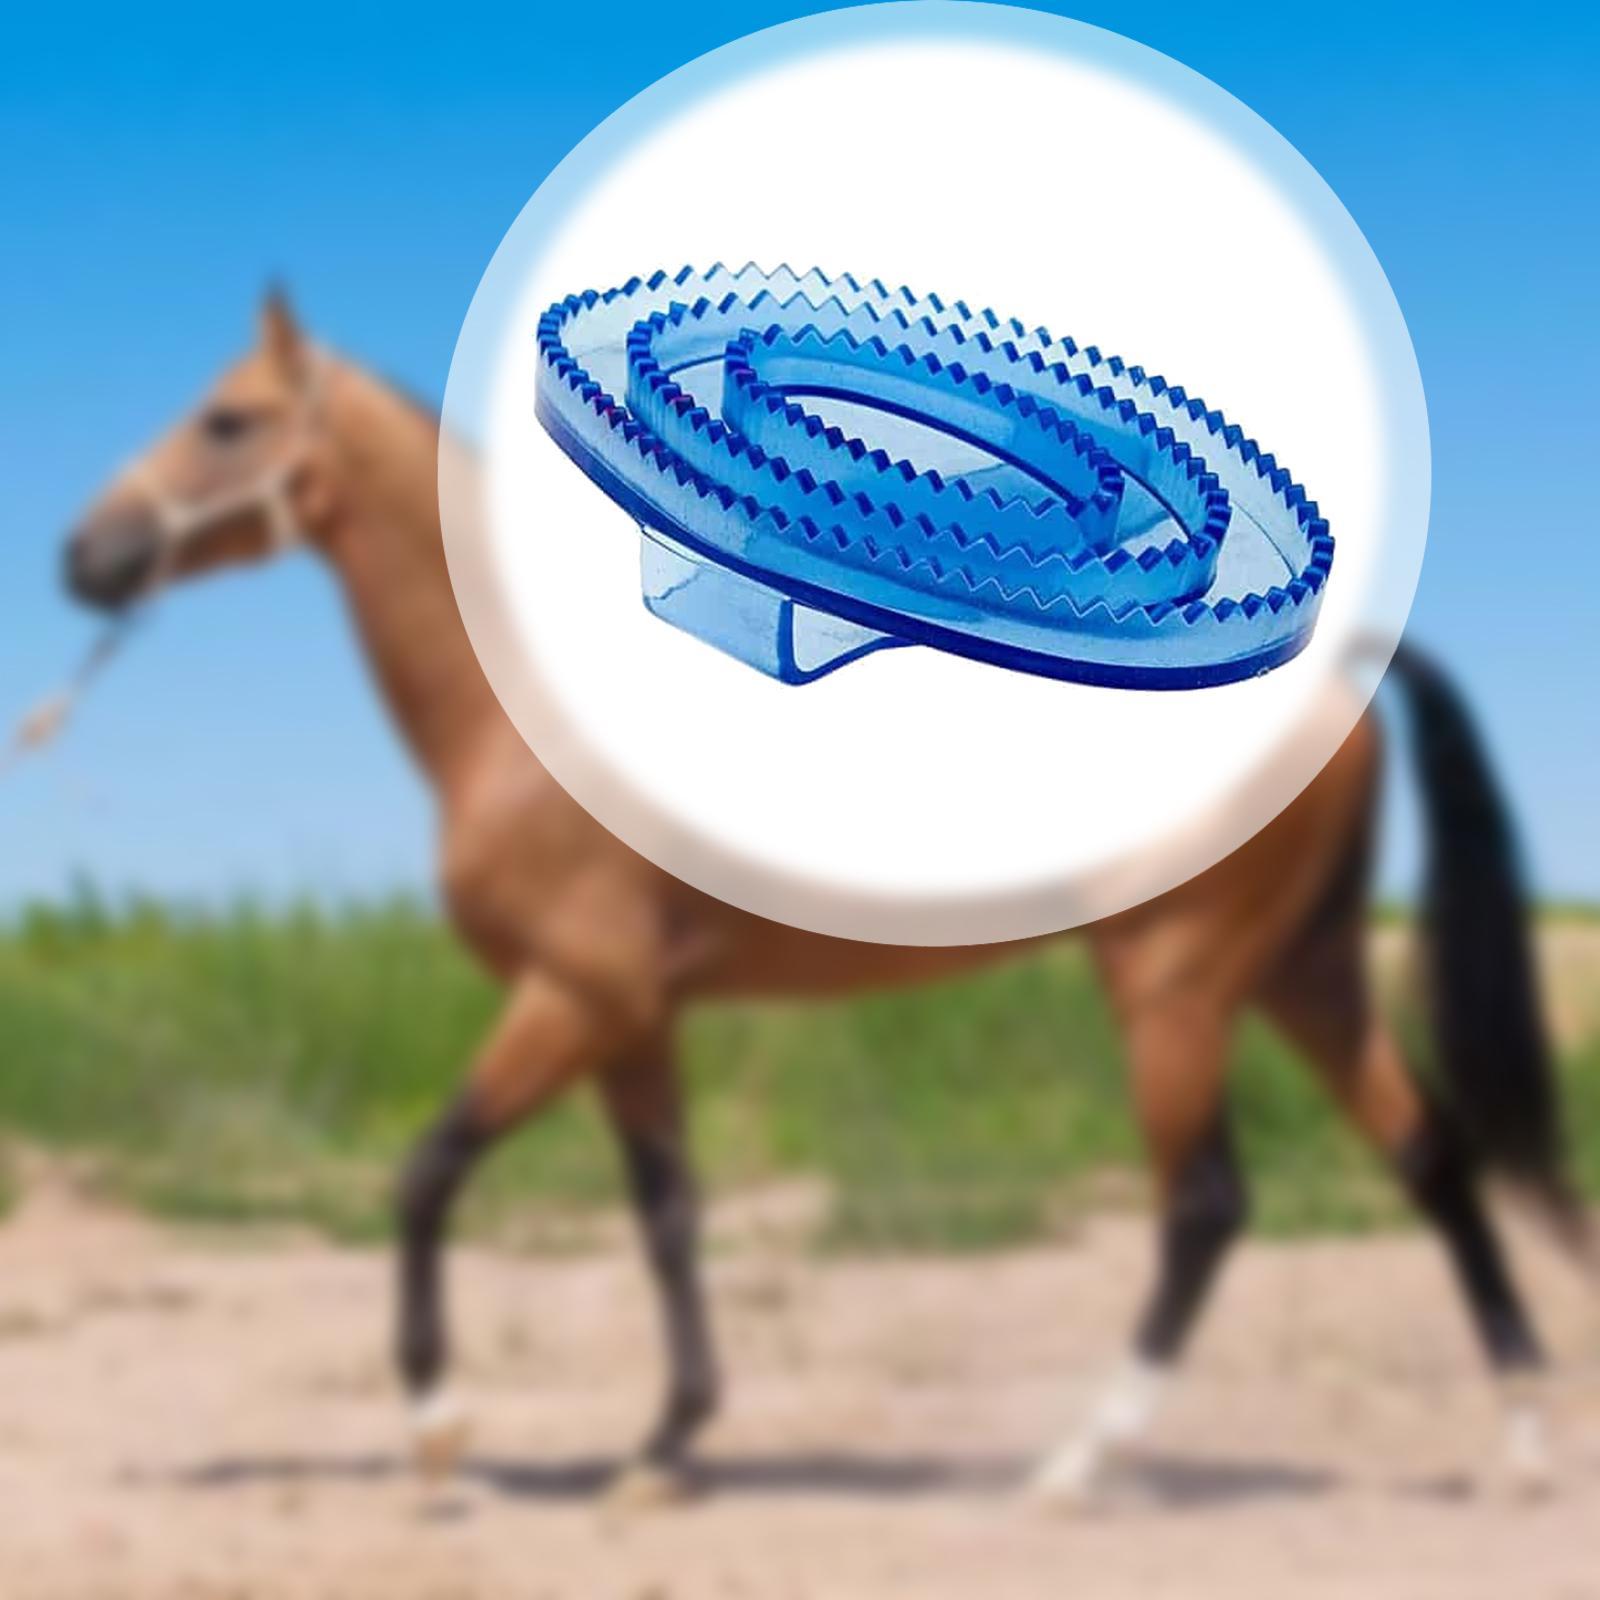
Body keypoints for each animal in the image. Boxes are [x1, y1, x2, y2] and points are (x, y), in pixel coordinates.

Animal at [62, 292, 1585, 1506]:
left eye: (227, 420)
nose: (85, 556)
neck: (517, 720)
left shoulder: (573, 997)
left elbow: (430, 1172)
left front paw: (442, 1434)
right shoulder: (634, 1021)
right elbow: (666, 1217)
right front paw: (662, 1452)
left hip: (1178, 987)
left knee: (1206, 1207)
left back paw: (1077, 1470)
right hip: (1301, 973)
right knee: (1433, 1158)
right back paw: (1516, 1444)